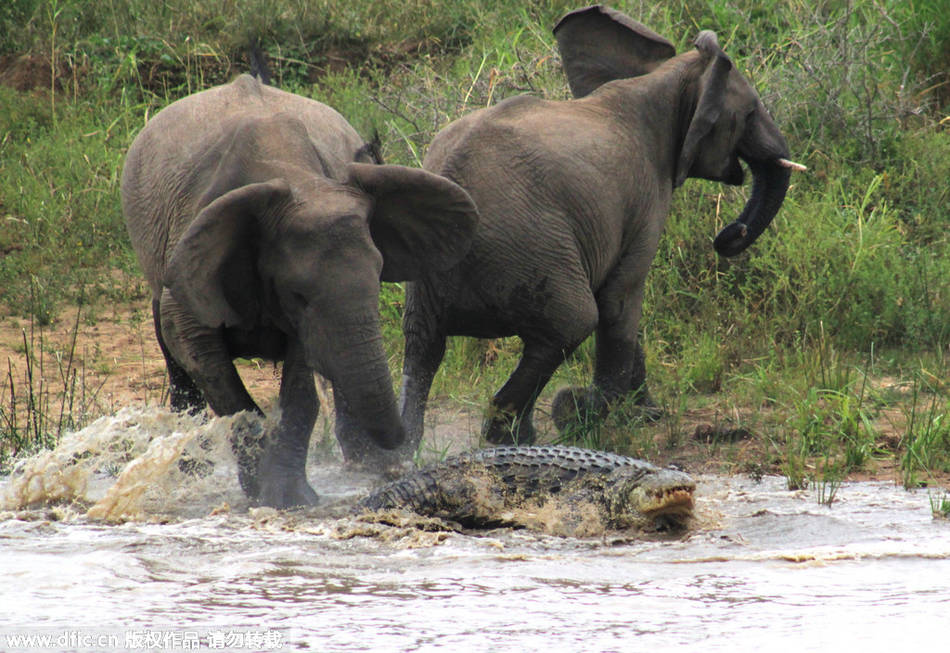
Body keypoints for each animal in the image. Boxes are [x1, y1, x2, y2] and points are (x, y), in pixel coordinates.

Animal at [124, 74, 484, 506]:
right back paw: (190, 472)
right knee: (176, 362)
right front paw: (258, 487)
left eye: (379, 278)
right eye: (298, 295)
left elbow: (301, 385)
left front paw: (289, 498)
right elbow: (202, 355)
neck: (296, 178)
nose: (397, 463)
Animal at [376, 3, 808, 454]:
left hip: (435, 271)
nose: (728, 235)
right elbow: (620, 299)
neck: (664, 78)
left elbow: (618, 303)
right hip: (526, 249)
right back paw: (516, 435)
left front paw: (646, 413)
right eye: (749, 113)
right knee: (573, 322)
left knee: (422, 346)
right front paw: (587, 413)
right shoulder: (646, 196)